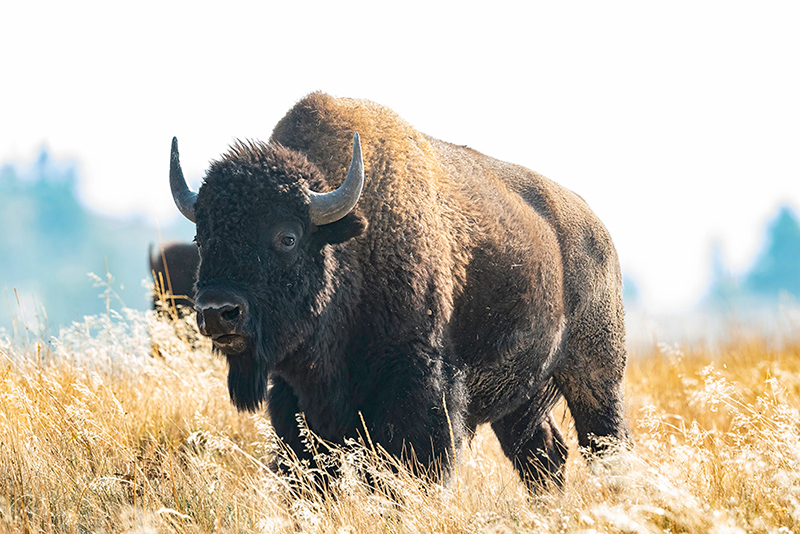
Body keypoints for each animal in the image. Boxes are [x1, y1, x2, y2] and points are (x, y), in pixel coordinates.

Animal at [168, 93, 629, 490]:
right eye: (201, 239)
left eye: (287, 237)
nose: (217, 311)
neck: (351, 243)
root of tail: (597, 230)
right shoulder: (295, 397)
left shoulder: (420, 389)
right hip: (523, 396)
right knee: (543, 455)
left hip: (596, 377)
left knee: (607, 448)